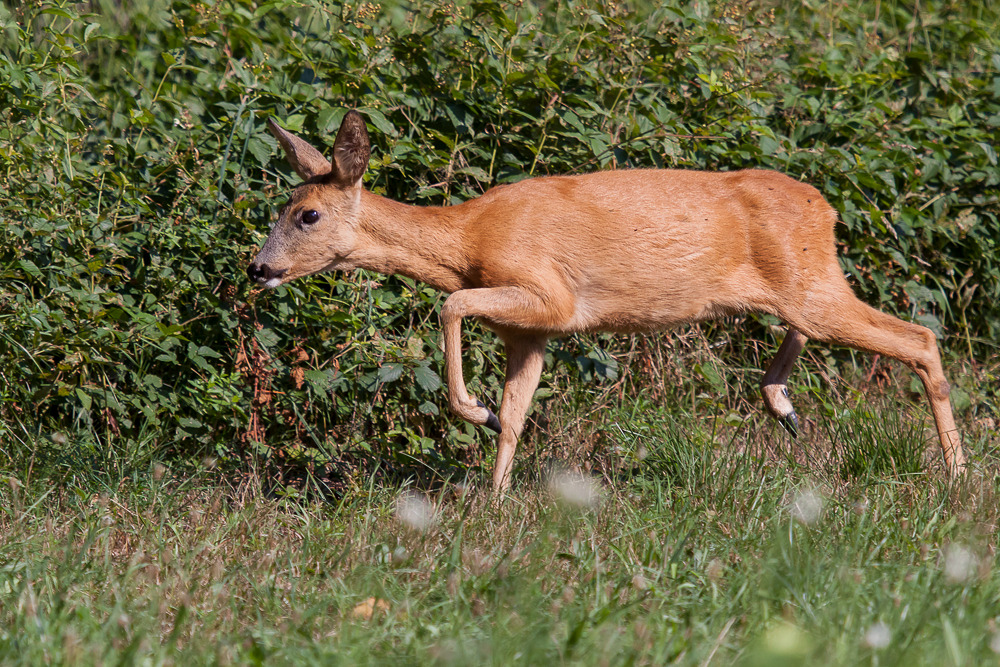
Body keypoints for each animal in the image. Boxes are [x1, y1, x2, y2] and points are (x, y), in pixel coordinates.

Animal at [246, 109, 964, 494]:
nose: (258, 267)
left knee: (920, 338)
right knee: (823, 334)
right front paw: (494, 499)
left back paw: (956, 474)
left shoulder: (550, 296)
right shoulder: (529, 332)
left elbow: (450, 309)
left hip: (813, 287)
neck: (467, 238)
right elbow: (518, 412)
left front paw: (474, 412)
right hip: (802, 286)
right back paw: (782, 403)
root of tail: (827, 209)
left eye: (307, 214)